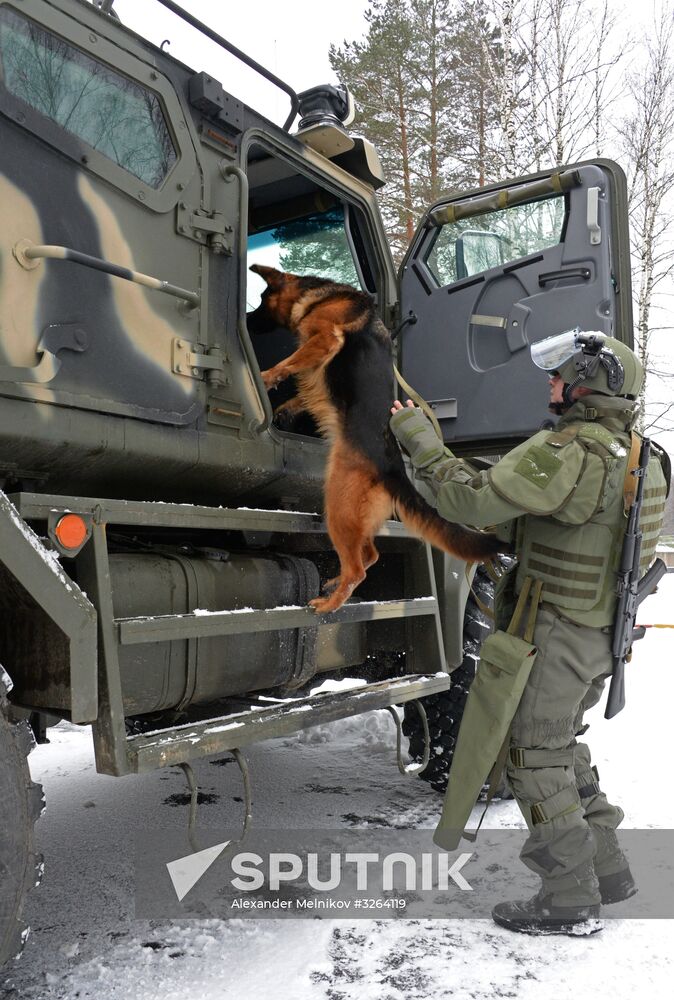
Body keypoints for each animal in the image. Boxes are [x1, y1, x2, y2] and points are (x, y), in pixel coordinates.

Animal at [249, 264, 502, 608]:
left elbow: (288, 362)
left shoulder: (325, 339)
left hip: (339, 507)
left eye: (262, 299)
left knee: (358, 567)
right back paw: (335, 584)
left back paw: (329, 604)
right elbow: (300, 393)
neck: (319, 295)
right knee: (369, 555)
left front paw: (265, 377)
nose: (246, 320)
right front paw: (283, 408)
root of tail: (394, 468)